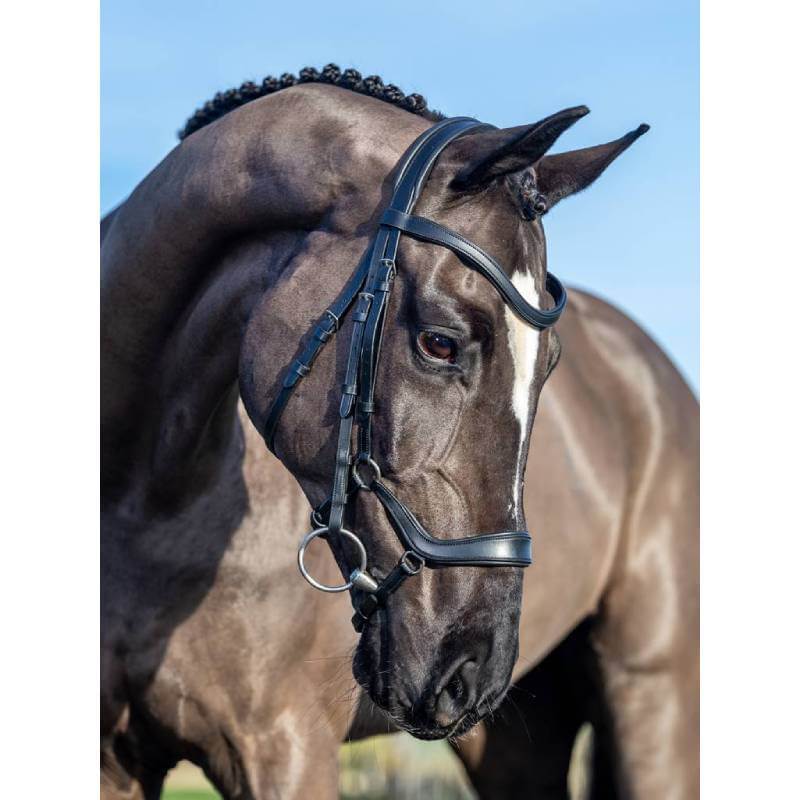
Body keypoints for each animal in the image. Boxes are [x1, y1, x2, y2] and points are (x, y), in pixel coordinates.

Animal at [101, 66, 698, 799]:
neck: (147, 501)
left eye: (551, 364)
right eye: (440, 342)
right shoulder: (115, 762)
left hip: (653, 700)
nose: (473, 668)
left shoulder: (287, 748)